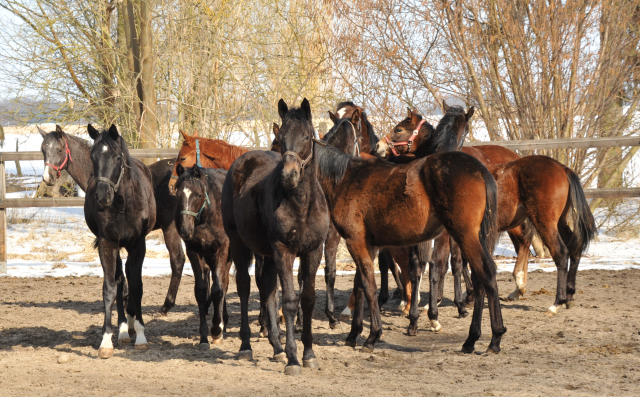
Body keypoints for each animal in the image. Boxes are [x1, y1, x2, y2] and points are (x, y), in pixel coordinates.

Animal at [39, 125, 186, 314]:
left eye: (59, 150)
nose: (47, 178)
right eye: (43, 150)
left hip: (170, 227)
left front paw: (124, 299)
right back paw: (167, 305)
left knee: (177, 259)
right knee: (179, 260)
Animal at [85, 125, 157, 358]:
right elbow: (110, 288)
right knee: (118, 280)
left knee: (129, 278)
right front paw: (106, 340)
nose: (102, 196)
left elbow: (136, 286)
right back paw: (124, 330)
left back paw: (132, 326)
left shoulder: (138, 244)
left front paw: (141, 336)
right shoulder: (107, 243)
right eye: (93, 157)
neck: (123, 203)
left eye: (117, 157)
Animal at [174, 164, 231, 346]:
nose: (185, 230)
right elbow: (201, 290)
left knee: (224, 284)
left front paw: (216, 330)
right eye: (177, 194)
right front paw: (204, 335)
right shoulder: (194, 251)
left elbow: (218, 290)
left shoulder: (222, 249)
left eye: (198, 195)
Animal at [221, 97, 330, 372]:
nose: (289, 175)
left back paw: (276, 348)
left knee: (267, 289)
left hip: (267, 254)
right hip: (240, 245)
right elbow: (289, 301)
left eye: (306, 136)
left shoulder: (313, 251)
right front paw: (293, 359)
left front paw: (308, 354)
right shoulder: (284, 250)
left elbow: (307, 299)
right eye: (281, 137)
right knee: (246, 287)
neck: (302, 205)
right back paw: (246, 347)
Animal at [380, 103, 596, 318]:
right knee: (574, 246)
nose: (380, 147)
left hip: (545, 222)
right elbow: (454, 263)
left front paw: (442, 304)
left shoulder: (449, 234)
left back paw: (555, 302)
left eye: (399, 129)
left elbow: (442, 264)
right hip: (557, 221)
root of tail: (563, 169)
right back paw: (567, 295)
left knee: (560, 253)